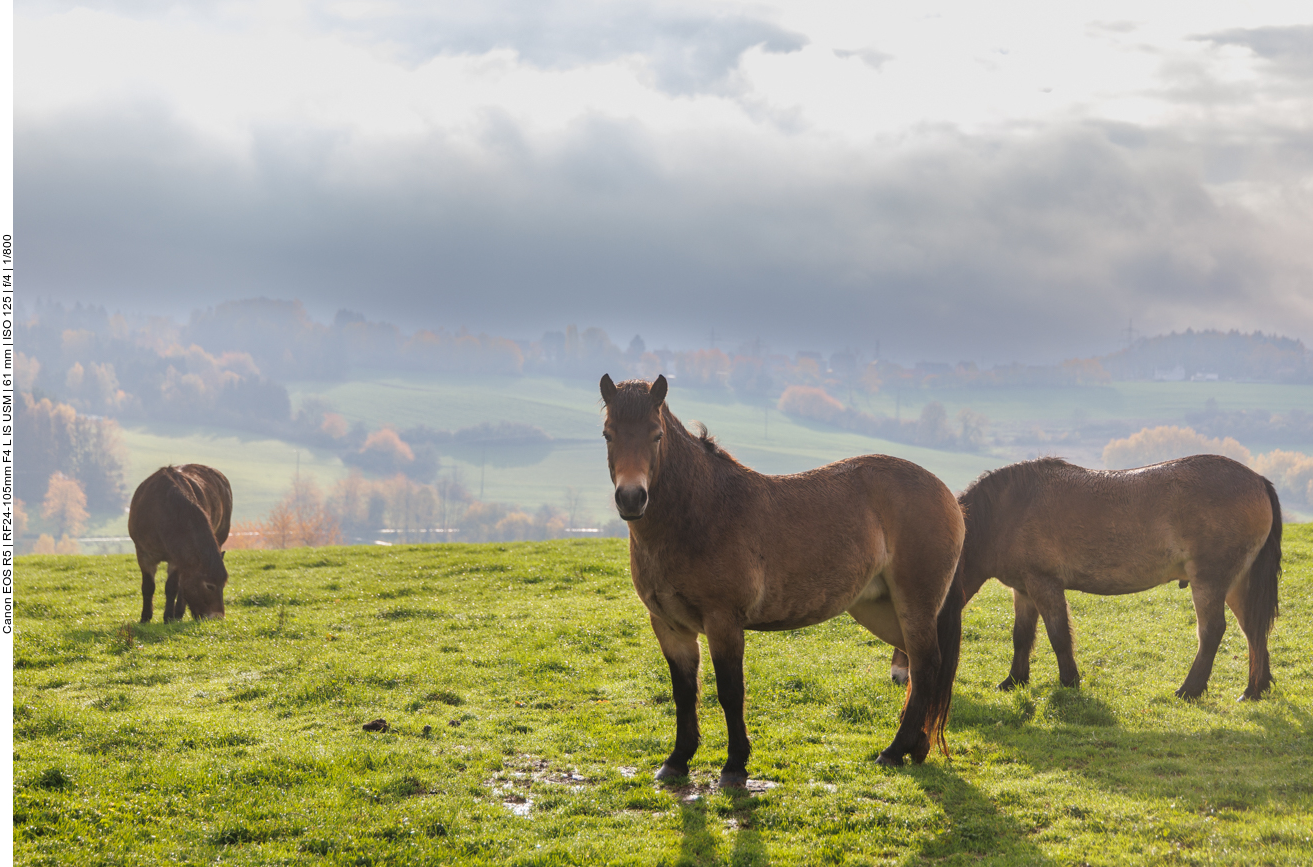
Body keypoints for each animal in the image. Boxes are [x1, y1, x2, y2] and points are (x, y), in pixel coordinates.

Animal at [128, 465, 233, 620]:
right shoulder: (143, 553)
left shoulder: (177, 559)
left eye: (224, 584)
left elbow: (172, 587)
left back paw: (178, 612)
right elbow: (148, 587)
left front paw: (168, 617)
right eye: (209, 585)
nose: (217, 616)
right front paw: (145, 617)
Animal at [601, 373, 966, 777]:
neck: (701, 511)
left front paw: (735, 764)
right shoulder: (670, 627)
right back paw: (916, 746)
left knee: (927, 666)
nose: (631, 498)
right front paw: (678, 760)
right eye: (608, 434)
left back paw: (894, 750)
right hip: (881, 610)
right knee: (918, 669)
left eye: (656, 435)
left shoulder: (723, 622)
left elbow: (730, 692)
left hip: (914, 605)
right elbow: (684, 693)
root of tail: (945, 493)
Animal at [892, 457, 1281, 698]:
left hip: (1210, 583)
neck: (1008, 510)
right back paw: (1254, 690)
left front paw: (1069, 681)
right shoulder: (1023, 590)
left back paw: (1190, 689)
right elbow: (1022, 636)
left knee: (1212, 632)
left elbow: (1058, 636)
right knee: (1253, 630)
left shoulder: (1044, 585)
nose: (898, 676)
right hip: (1237, 585)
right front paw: (1014, 680)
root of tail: (1258, 480)